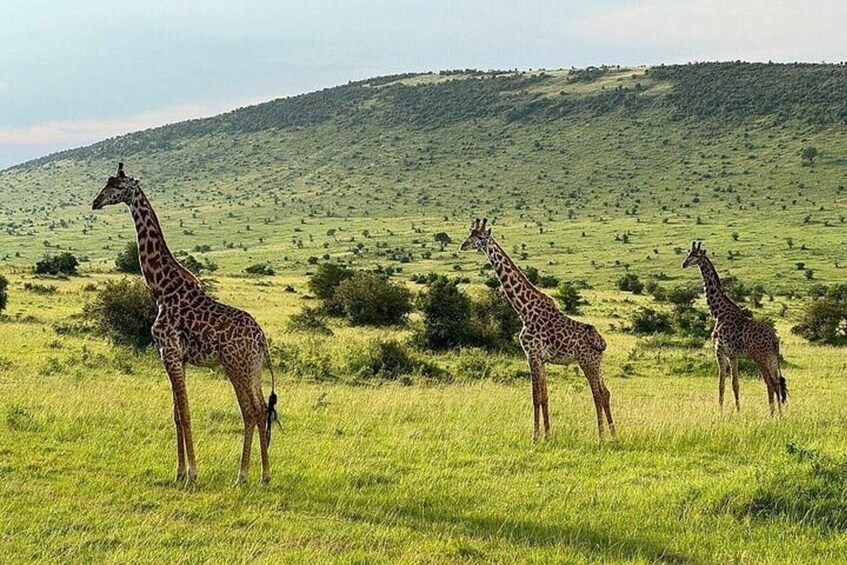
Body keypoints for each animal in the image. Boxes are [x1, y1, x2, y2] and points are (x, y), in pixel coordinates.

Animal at [92, 163, 279, 486]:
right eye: (107, 182)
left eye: (116, 186)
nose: (95, 202)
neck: (161, 289)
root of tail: (262, 339)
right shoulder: (172, 356)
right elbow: (177, 414)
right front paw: (179, 472)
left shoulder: (170, 351)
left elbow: (187, 412)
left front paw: (192, 473)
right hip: (252, 369)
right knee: (260, 410)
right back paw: (264, 475)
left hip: (236, 365)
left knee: (250, 411)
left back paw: (243, 475)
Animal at [460, 218, 614, 440]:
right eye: (469, 234)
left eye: (479, 237)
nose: (463, 245)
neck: (524, 309)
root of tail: (602, 342)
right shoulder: (541, 358)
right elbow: (544, 396)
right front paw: (548, 435)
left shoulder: (531, 354)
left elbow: (535, 396)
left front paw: (534, 437)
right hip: (597, 363)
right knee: (606, 392)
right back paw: (613, 435)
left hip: (587, 361)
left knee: (597, 394)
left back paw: (601, 438)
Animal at [682, 241, 787, 414]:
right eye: (687, 253)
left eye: (694, 255)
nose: (683, 264)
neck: (719, 313)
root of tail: (774, 340)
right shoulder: (733, 355)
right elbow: (735, 384)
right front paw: (738, 410)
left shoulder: (719, 350)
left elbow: (721, 384)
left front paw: (720, 411)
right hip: (772, 358)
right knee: (777, 382)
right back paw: (779, 413)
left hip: (760, 357)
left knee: (771, 383)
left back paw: (772, 414)